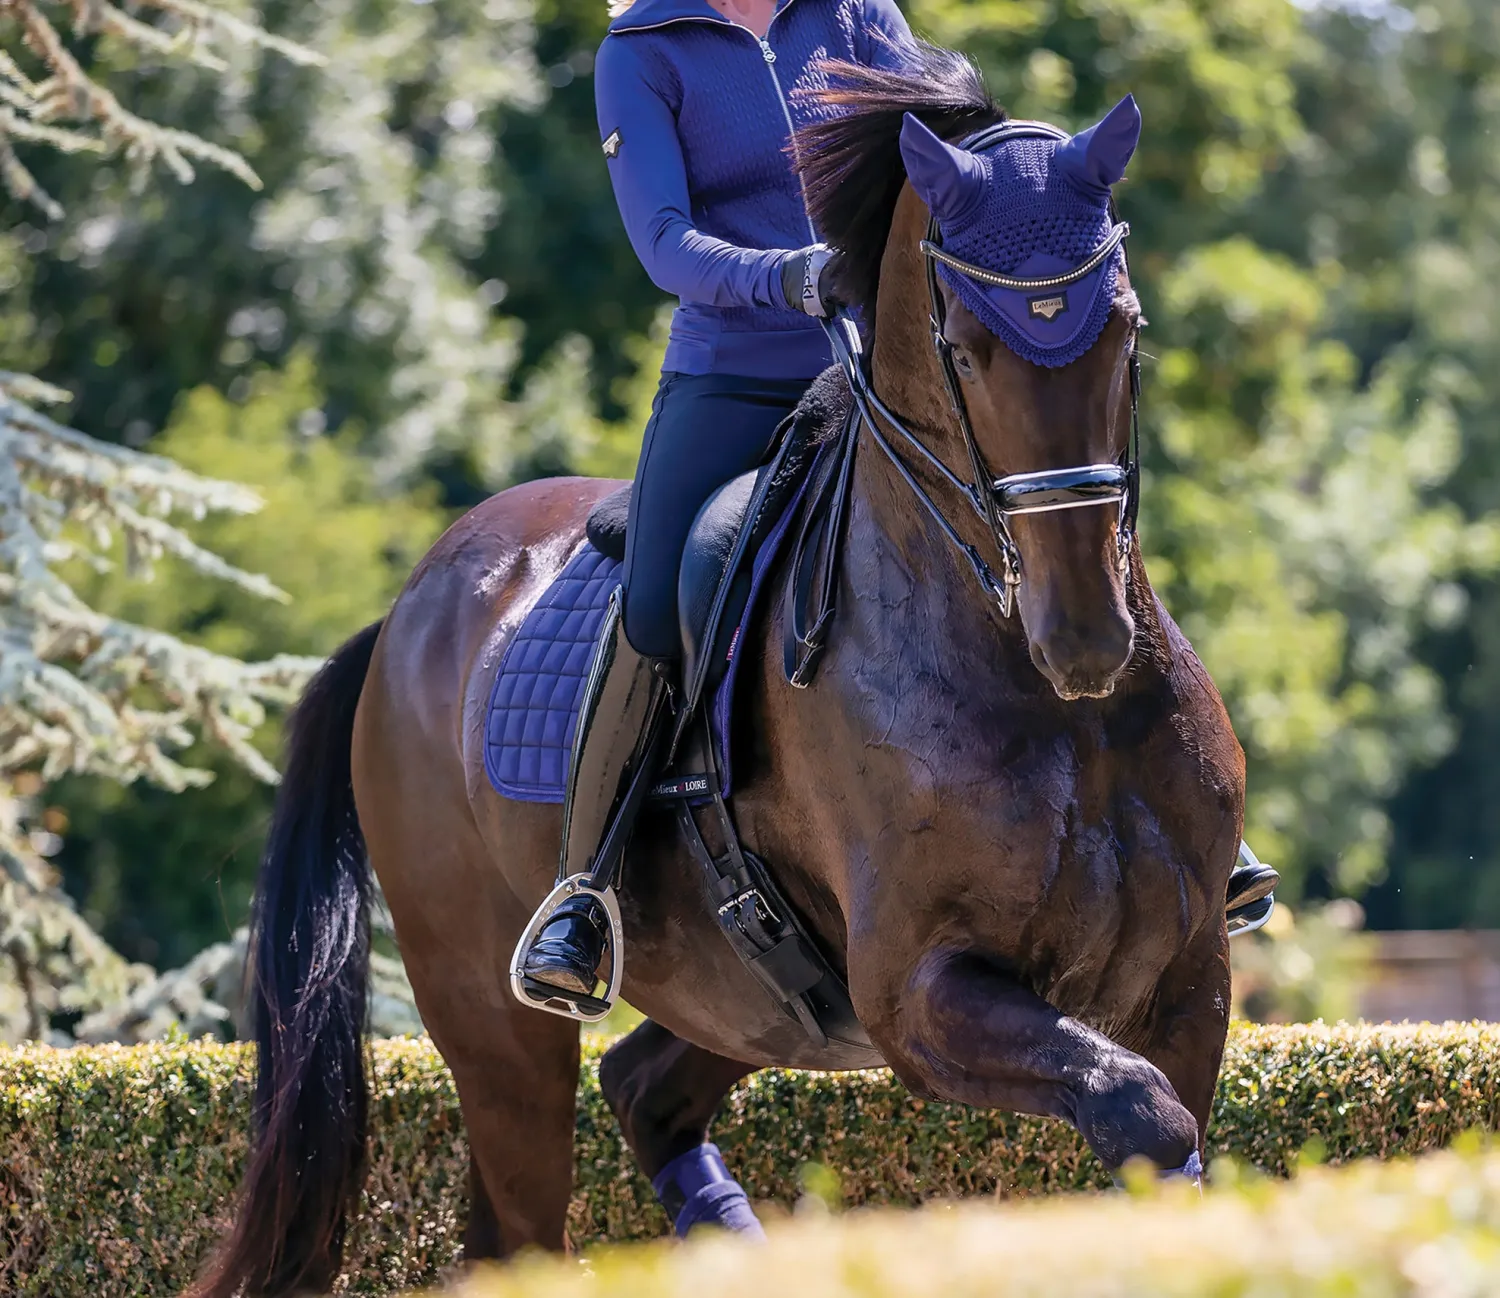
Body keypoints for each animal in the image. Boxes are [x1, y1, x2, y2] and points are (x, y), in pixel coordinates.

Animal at [194, 45, 1243, 1298]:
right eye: (967, 348)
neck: (1054, 705)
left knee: (642, 1091)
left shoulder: (1188, 978)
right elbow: (1140, 1112)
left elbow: (1165, 1118)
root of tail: (403, 613)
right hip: (493, 1017)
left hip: (748, 995)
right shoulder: (922, 991)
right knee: (527, 1213)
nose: (1084, 632)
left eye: (1125, 330)